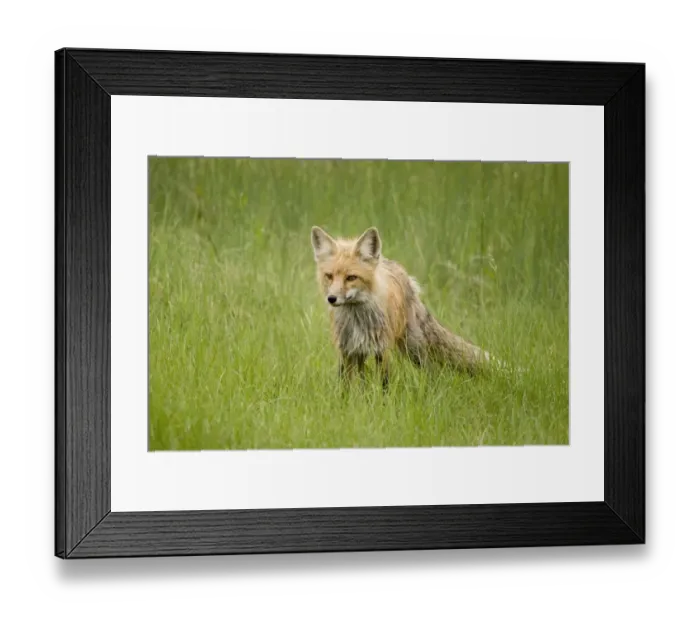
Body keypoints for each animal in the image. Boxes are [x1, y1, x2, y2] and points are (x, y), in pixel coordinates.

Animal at [310, 226, 492, 389]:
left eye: (351, 278)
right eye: (329, 276)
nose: (331, 298)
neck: (358, 319)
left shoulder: (382, 350)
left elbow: (384, 385)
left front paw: (381, 403)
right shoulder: (347, 350)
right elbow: (345, 388)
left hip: (414, 348)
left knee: (431, 370)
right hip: (363, 353)